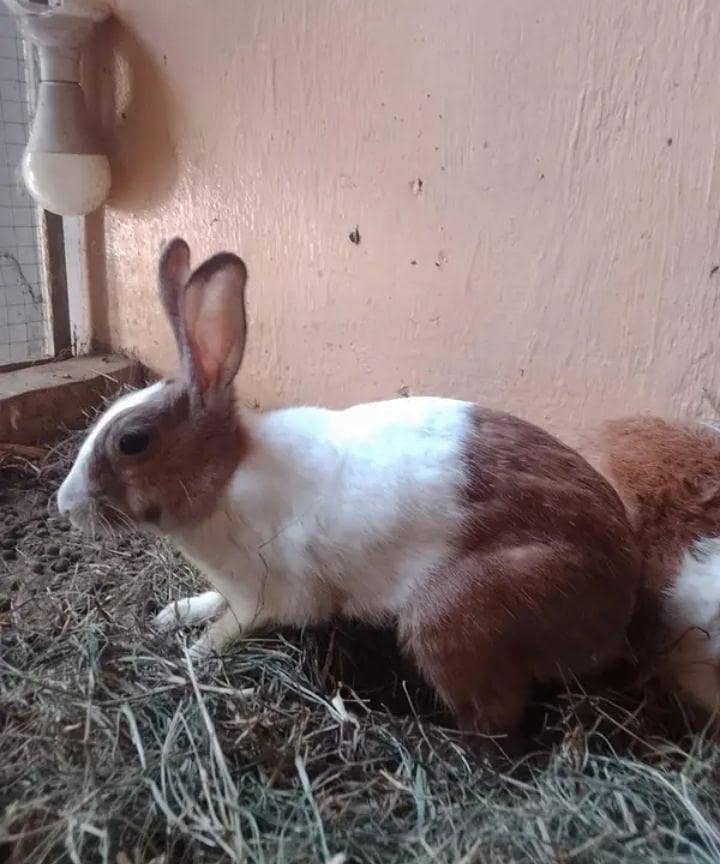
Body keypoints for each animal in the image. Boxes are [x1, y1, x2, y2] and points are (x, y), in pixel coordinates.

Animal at [56, 237, 642, 748]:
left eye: (133, 441)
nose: (64, 505)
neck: (224, 478)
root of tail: (622, 598)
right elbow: (210, 602)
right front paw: (171, 616)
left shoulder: (263, 597)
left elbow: (228, 628)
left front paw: (193, 656)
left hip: (452, 617)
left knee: (496, 724)